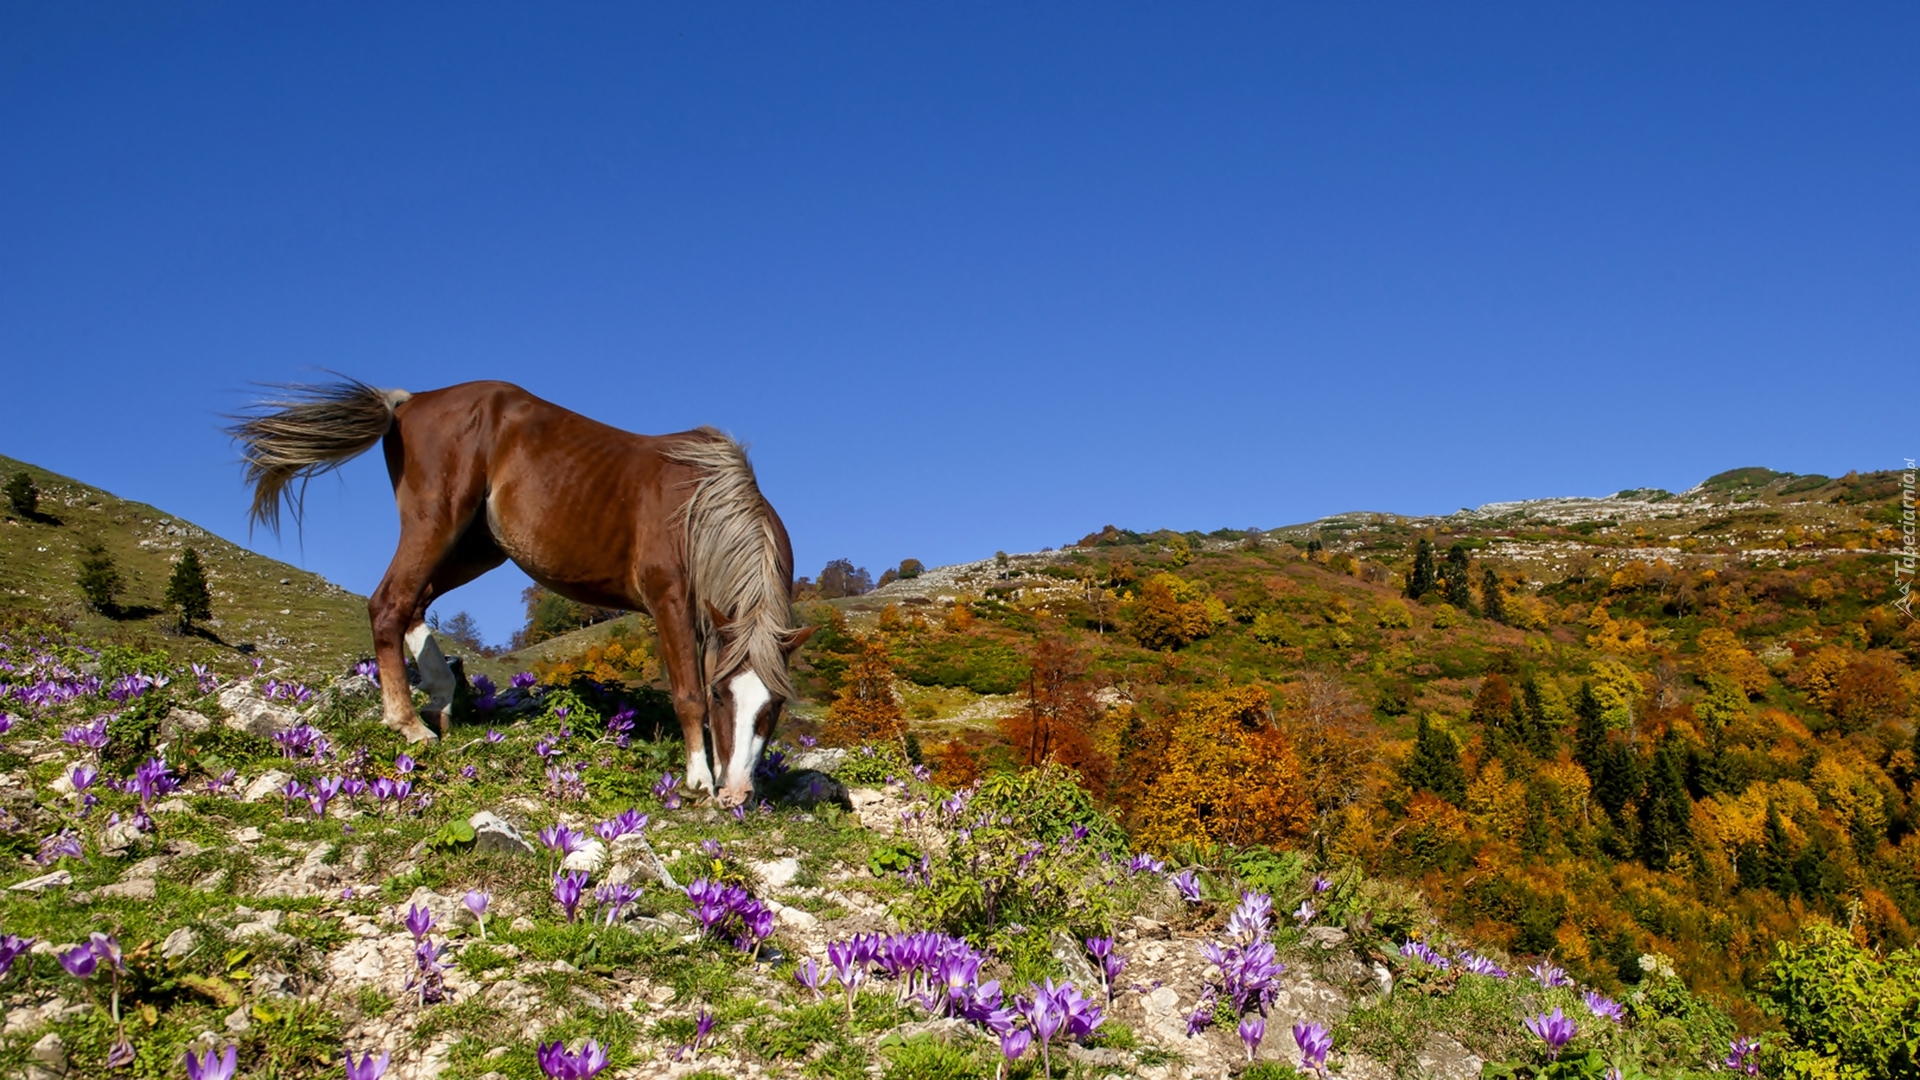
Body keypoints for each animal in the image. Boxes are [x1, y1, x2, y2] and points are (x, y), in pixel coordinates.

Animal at [230, 374, 810, 803]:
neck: (697, 507)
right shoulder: (669, 603)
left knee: (417, 603)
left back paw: (440, 696)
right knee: (389, 604)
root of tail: (410, 401)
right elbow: (685, 693)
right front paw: (698, 779)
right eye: (721, 694)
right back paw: (408, 723)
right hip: (434, 523)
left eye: (775, 704)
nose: (736, 795)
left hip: (478, 547)